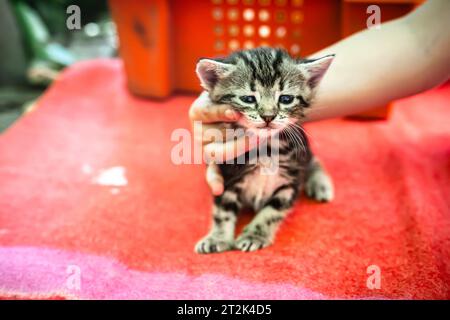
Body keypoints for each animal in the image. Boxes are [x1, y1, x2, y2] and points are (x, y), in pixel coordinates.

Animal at [194, 47, 334, 254]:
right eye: (248, 98)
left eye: (286, 98)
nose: (268, 116)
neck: (266, 148)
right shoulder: (227, 175)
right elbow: (222, 210)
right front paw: (217, 237)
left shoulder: (289, 181)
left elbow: (271, 212)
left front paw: (254, 235)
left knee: (312, 160)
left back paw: (320, 184)